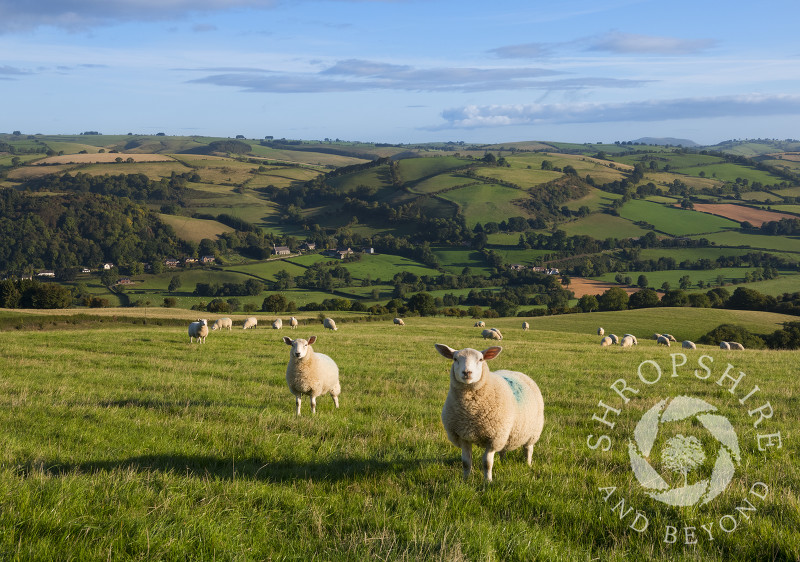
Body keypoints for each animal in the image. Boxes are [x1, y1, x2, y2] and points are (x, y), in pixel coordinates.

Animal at [434, 342, 548, 482]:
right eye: (455, 359)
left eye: (480, 359)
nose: (467, 372)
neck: (470, 411)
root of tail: (516, 372)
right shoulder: (463, 436)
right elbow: (466, 462)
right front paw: (465, 480)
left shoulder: (493, 438)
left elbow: (487, 463)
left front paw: (488, 481)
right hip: (506, 434)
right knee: (504, 449)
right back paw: (503, 461)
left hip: (532, 431)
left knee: (528, 449)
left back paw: (528, 464)